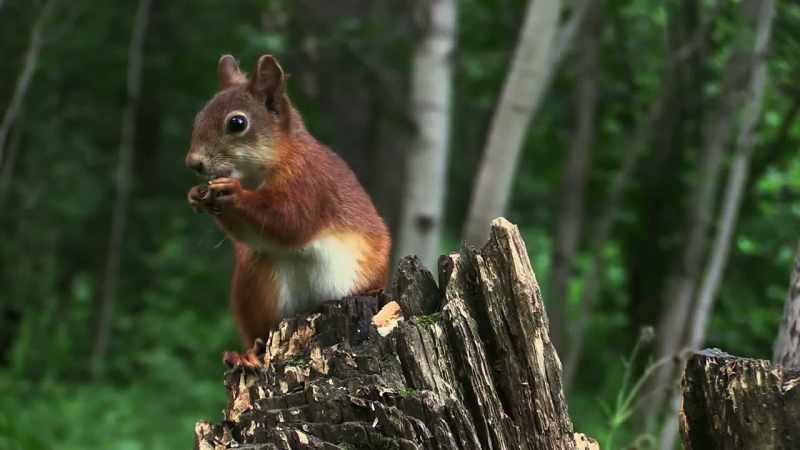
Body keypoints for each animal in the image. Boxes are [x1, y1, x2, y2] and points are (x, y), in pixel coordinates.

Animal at [185, 54, 391, 365]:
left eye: (237, 123)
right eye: (198, 117)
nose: (193, 163)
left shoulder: (310, 184)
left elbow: (290, 221)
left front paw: (233, 194)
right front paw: (197, 195)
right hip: (254, 285)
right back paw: (247, 355)